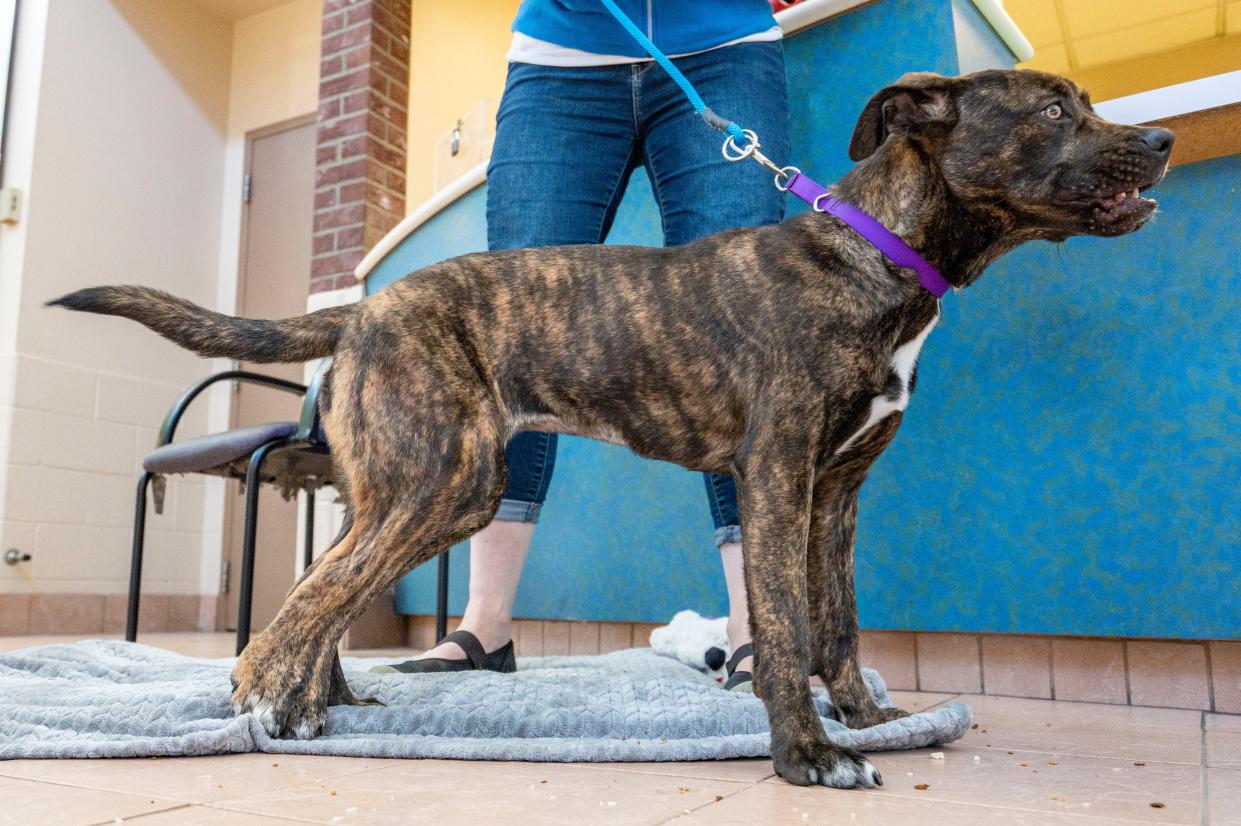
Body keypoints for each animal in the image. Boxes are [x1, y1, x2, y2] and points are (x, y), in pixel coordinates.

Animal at [50, 69, 1171, 783]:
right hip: (446, 482)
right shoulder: (775, 478)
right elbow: (787, 625)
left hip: (404, 489)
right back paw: (262, 707)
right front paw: (806, 755)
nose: (1162, 139)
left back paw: (320, 702)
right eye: (1055, 108)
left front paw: (867, 720)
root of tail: (361, 308)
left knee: (326, 589)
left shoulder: (839, 494)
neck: (877, 256)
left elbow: (839, 624)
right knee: (305, 602)